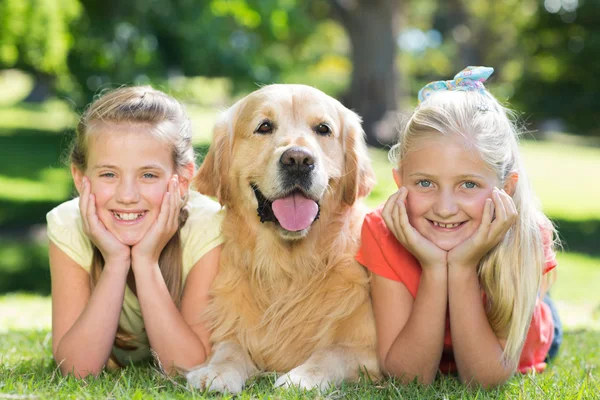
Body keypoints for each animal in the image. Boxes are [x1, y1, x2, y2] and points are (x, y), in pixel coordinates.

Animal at [185, 83, 378, 392]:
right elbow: (230, 348)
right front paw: (216, 372)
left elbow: (332, 351)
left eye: (323, 129)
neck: (288, 269)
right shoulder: (229, 328)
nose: (298, 160)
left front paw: (302, 378)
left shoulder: (372, 350)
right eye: (264, 126)